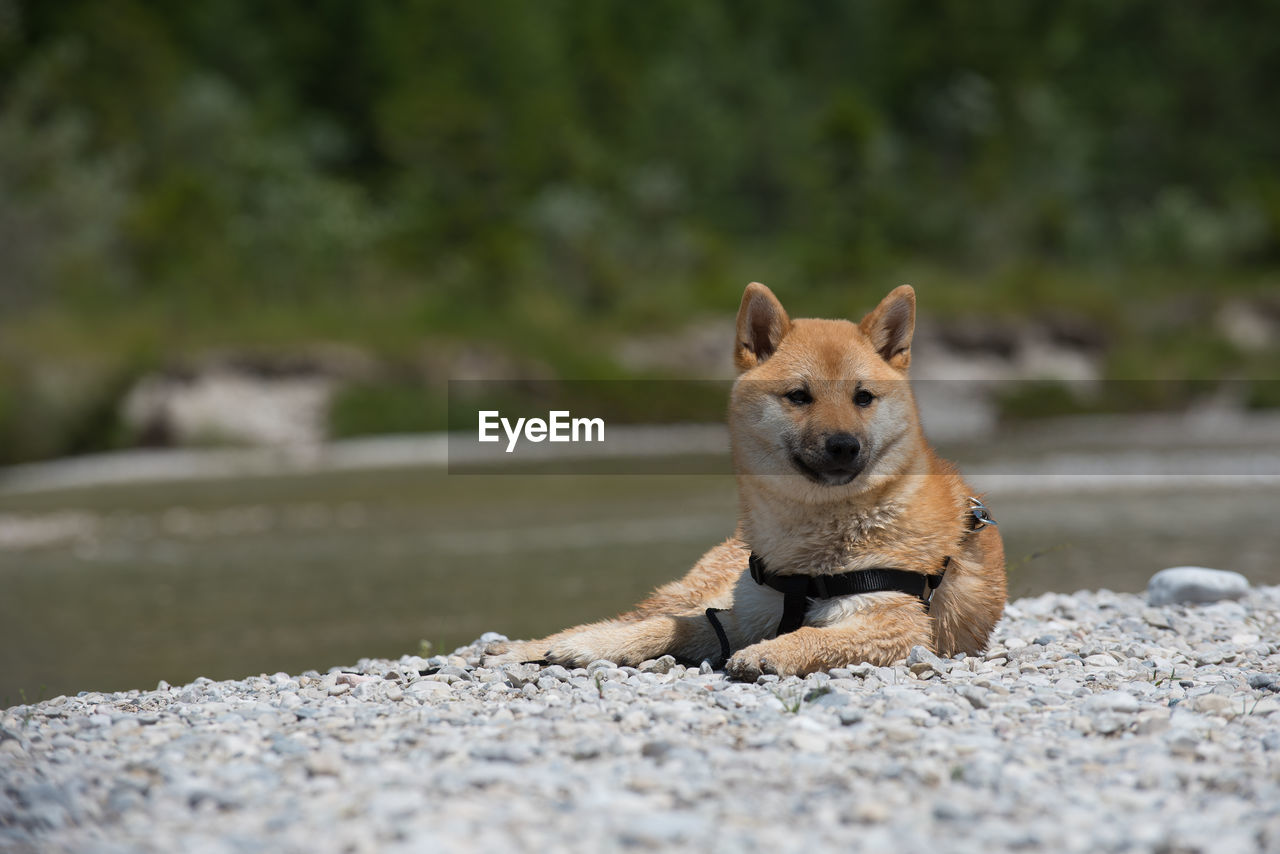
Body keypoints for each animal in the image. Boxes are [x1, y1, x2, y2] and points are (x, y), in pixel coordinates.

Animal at [483, 286, 1003, 681]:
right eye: (799, 396)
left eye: (863, 397)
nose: (843, 445)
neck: (810, 545)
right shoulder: (745, 613)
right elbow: (667, 628)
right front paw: (588, 645)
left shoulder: (898, 622)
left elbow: (815, 634)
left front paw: (772, 652)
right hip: (697, 591)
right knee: (644, 614)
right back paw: (534, 646)